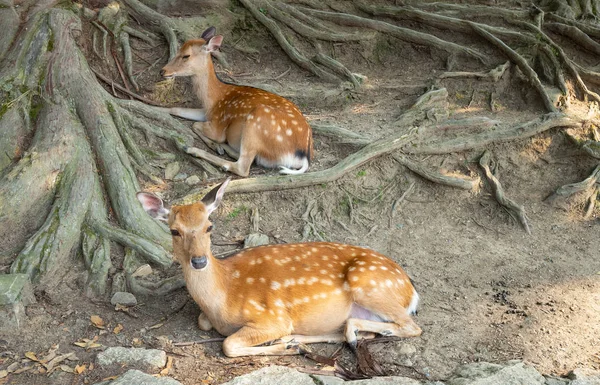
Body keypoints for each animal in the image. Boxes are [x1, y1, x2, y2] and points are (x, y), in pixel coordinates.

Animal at [139, 178, 424, 356]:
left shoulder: (272, 317)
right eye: (174, 231)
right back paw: (300, 340)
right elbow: (204, 323)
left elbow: (228, 344)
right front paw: (287, 344)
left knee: (411, 326)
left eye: (209, 226)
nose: (199, 261)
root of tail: (411, 290)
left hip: (369, 282)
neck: (224, 294)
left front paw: (281, 346)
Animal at [159, 27, 314, 177]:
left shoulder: (218, 124)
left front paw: (214, 144)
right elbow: (177, 110)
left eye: (186, 55)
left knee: (242, 167)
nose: (163, 71)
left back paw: (194, 149)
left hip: (256, 121)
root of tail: (303, 157)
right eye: (178, 50)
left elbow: (195, 125)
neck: (215, 98)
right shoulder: (208, 112)